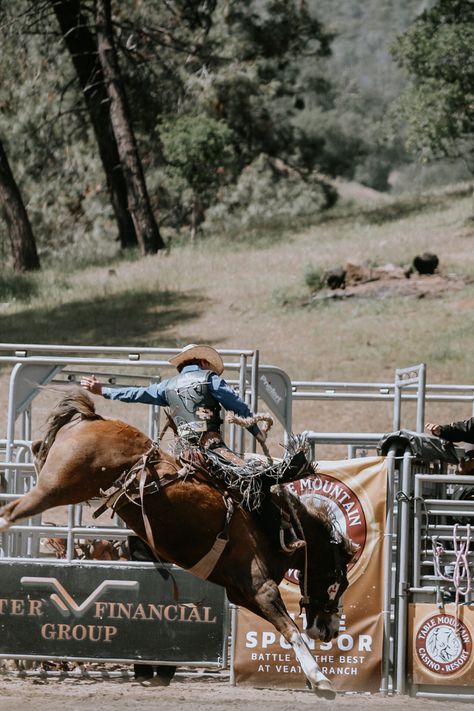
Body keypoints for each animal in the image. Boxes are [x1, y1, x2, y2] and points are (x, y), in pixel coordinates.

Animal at [0, 390, 356, 696]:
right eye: (338, 581)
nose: (331, 631)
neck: (277, 522)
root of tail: (91, 418)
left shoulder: (243, 593)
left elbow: (285, 628)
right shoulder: (260, 586)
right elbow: (291, 629)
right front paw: (321, 681)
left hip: (59, 484)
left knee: (32, 459)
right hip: (57, 488)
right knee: (10, 512)